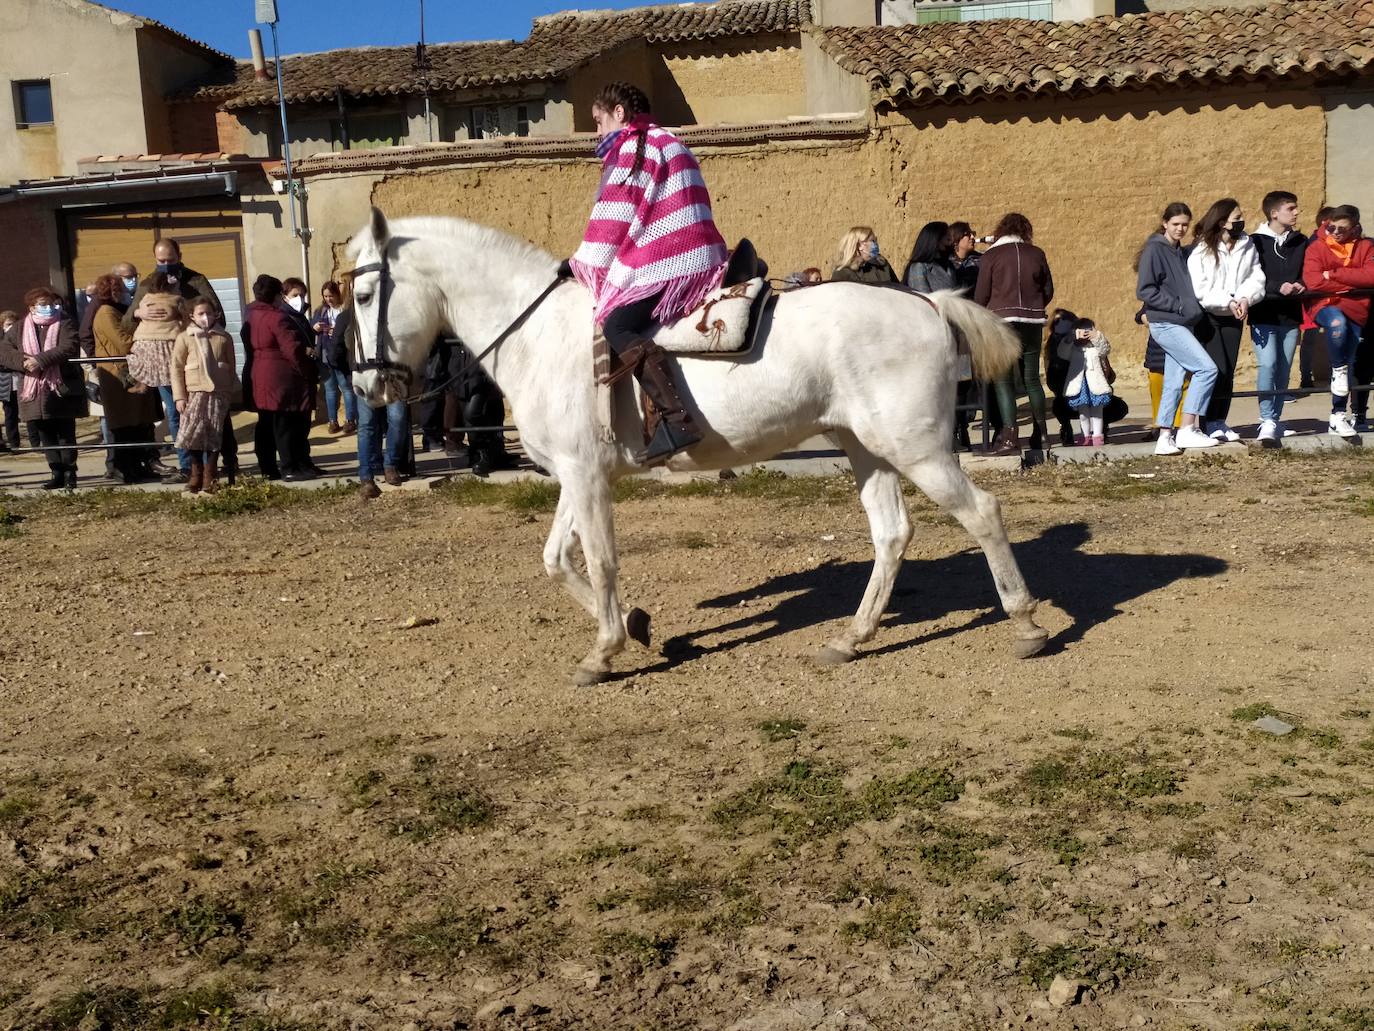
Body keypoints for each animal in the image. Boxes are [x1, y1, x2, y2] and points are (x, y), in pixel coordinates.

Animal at [348, 210, 1044, 687]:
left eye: (363, 294)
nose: (363, 385)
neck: (536, 334)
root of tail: (929, 302)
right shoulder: (578, 473)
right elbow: (556, 560)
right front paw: (635, 627)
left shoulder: (586, 477)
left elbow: (599, 561)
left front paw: (603, 651)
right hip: (866, 447)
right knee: (892, 533)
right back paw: (853, 636)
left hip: (917, 447)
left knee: (982, 513)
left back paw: (1027, 622)